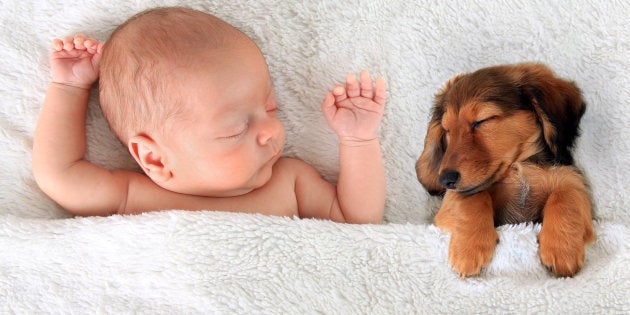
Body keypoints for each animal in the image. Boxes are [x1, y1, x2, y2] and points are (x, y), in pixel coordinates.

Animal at [418, 63, 596, 278]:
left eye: (482, 120)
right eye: (447, 130)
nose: (446, 180)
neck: (517, 168)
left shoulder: (573, 180)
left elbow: (565, 196)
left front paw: (562, 249)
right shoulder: (453, 199)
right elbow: (473, 198)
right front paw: (469, 249)